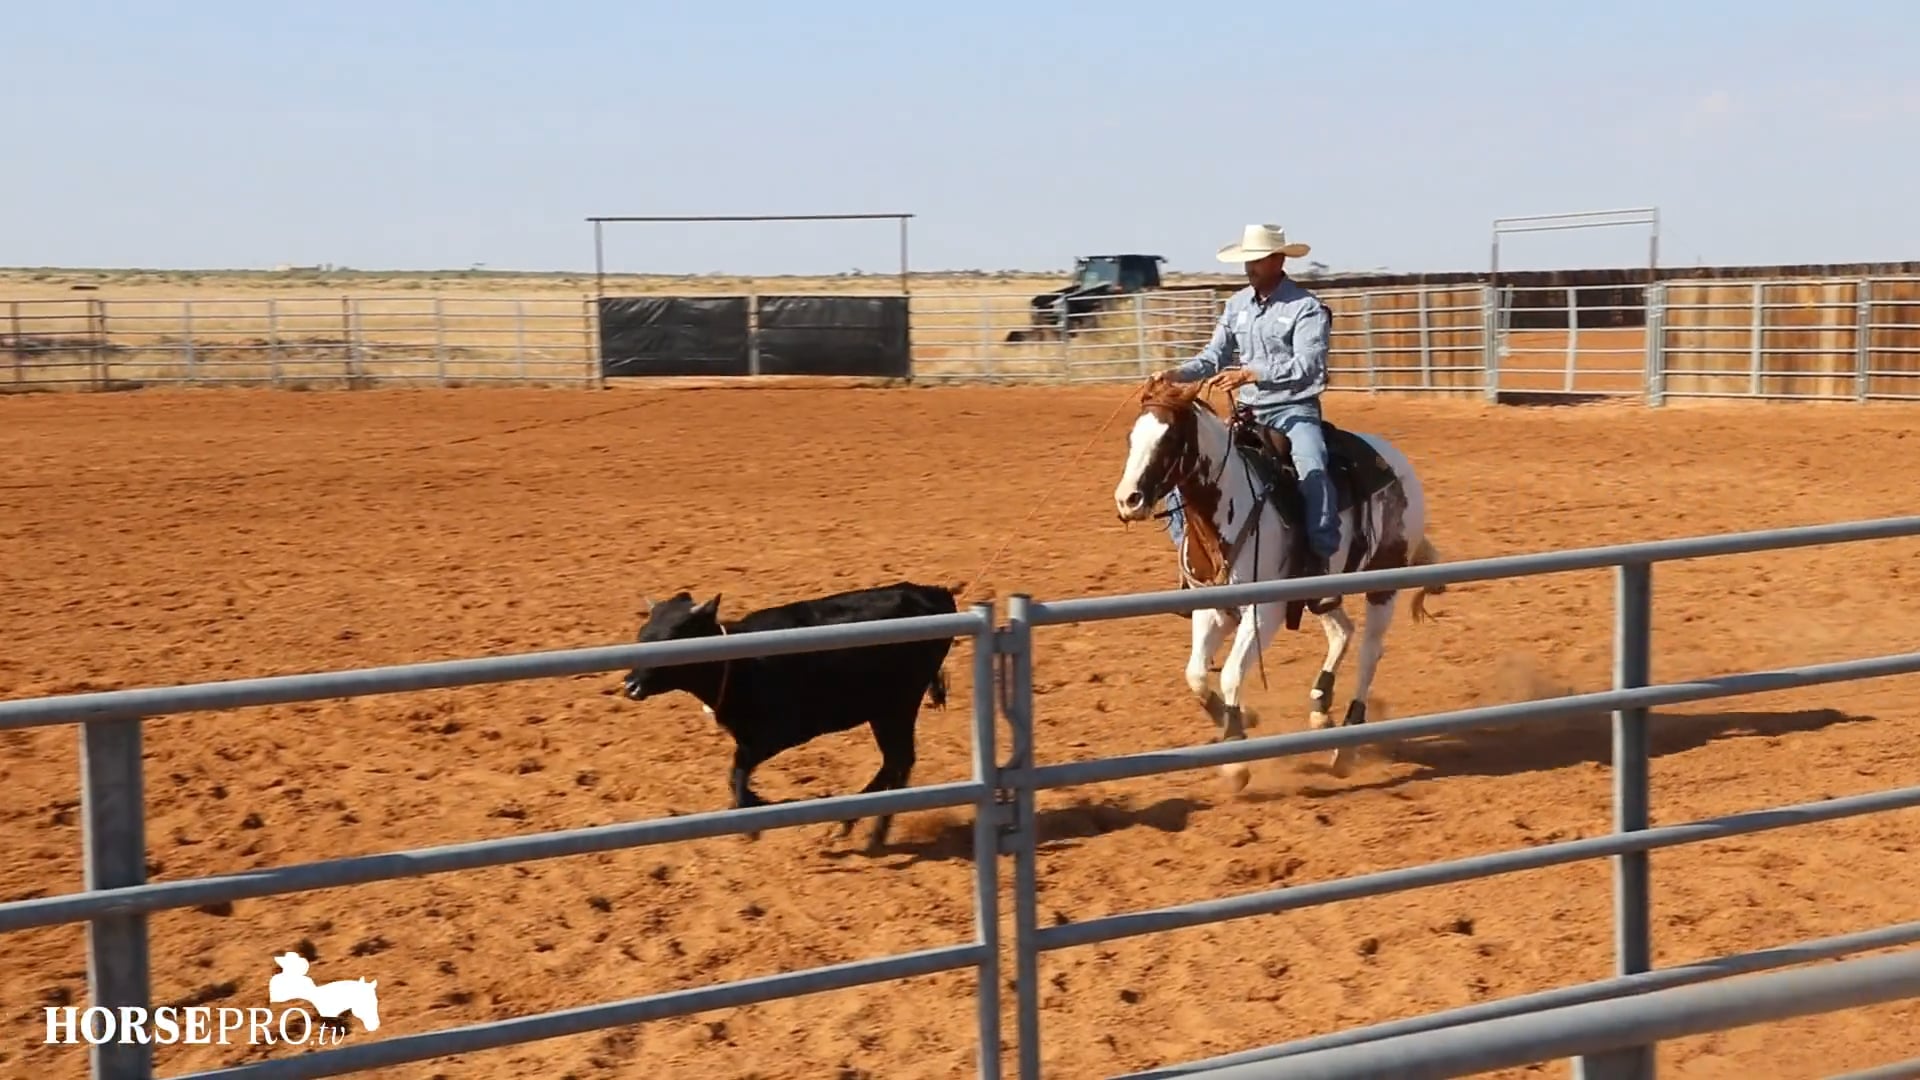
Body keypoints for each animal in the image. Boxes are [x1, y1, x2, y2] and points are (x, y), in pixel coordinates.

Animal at [1111, 378, 1445, 786]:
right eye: (1131, 436)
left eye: (1170, 437)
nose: (1128, 500)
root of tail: (1396, 462)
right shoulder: (1210, 608)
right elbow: (1195, 675)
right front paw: (1240, 718)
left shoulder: (1263, 613)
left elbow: (1231, 675)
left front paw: (1236, 760)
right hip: (1320, 590)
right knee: (1342, 631)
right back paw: (1320, 706)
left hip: (1384, 585)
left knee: (1369, 653)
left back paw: (1346, 746)